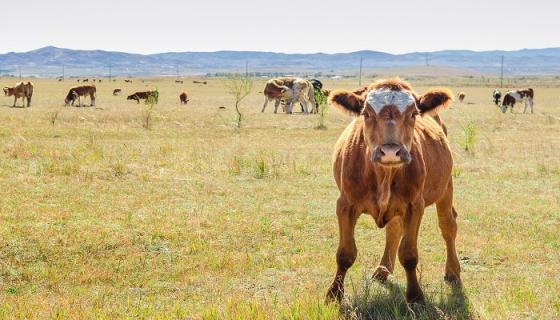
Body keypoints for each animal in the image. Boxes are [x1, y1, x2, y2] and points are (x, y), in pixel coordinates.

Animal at [326, 79, 462, 304]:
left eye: (413, 113)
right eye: (366, 113)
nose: (390, 151)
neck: (384, 175)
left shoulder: (415, 205)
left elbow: (409, 254)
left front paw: (415, 296)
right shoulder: (345, 204)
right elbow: (345, 253)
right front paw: (334, 293)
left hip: (446, 187)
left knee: (448, 225)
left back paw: (453, 271)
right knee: (394, 229)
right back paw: (382, 271)